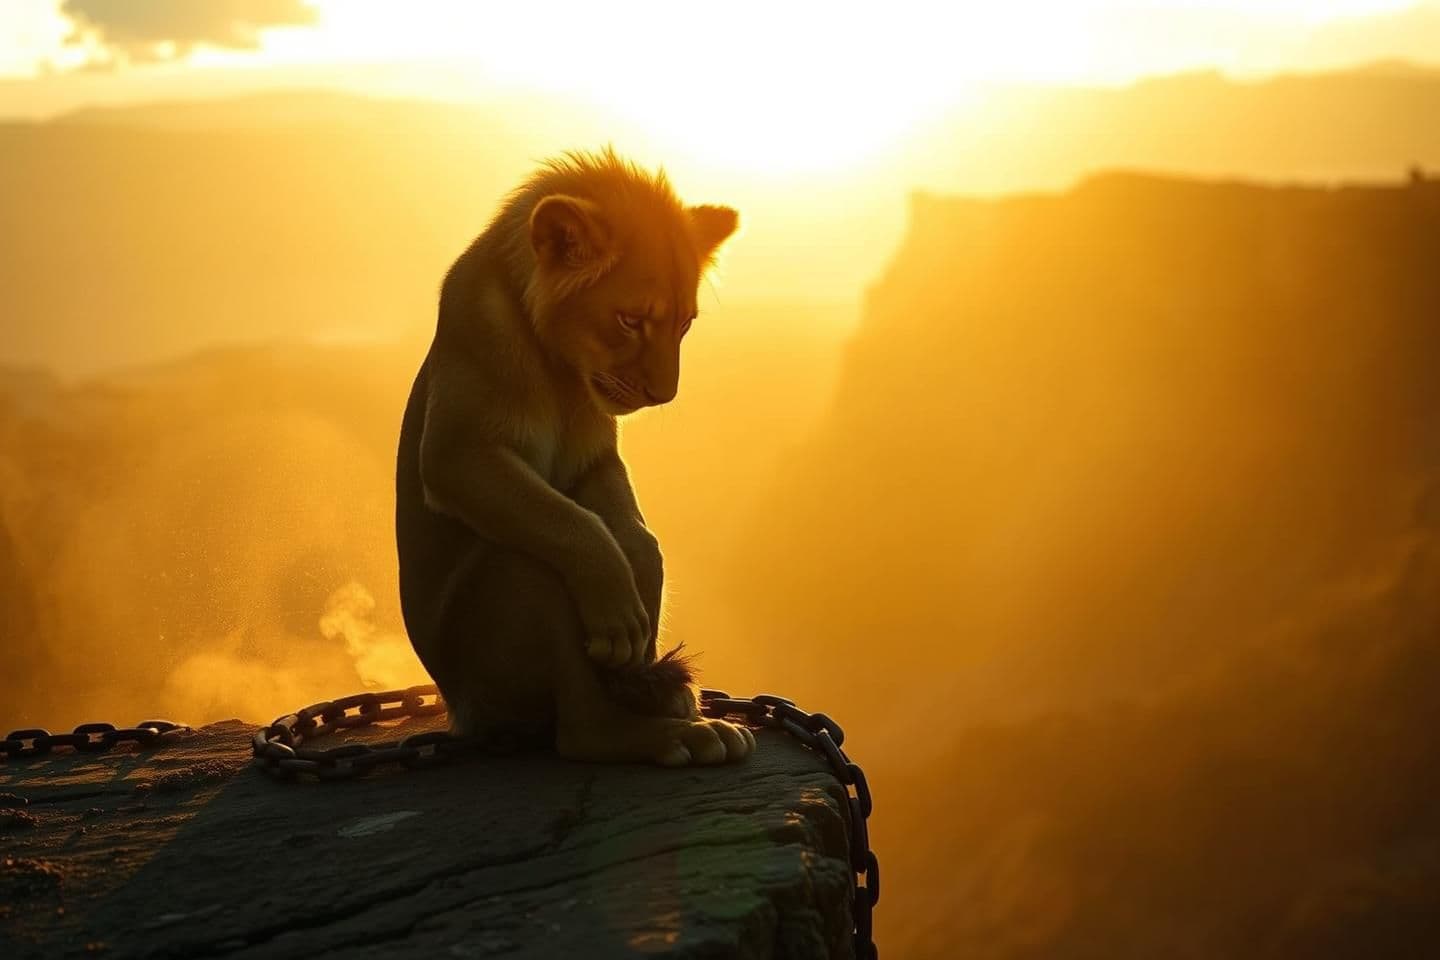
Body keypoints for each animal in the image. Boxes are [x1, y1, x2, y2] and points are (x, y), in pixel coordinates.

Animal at [395, 149, 753, 765]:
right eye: (630, 320)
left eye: (683, 324)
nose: (664, 394)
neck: (559, 370)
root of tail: (460, 717)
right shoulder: (456, 455)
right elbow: (578, 526)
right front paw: (619, 608)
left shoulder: (596, 456)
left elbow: (635, 536)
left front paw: (644, 586)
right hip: (503, 615)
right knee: (579, 725)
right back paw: (673, 735)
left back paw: (674, 703)